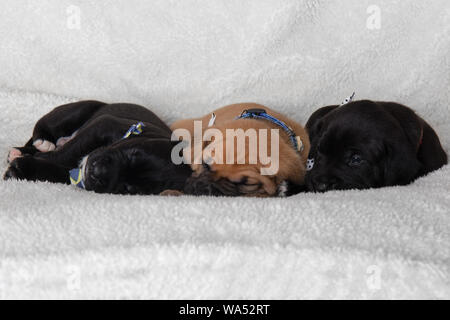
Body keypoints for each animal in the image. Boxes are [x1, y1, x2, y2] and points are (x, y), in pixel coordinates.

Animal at [4, 100, 192, 195]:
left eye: (129, 188)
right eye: (132, 154)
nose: (98, 172)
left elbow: (58, 171)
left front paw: (24, 168)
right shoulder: (102, 126)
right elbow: (68, 152)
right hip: (76, 111)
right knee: (44, 127)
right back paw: (41, 142)